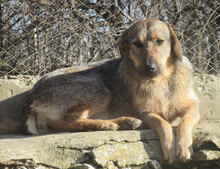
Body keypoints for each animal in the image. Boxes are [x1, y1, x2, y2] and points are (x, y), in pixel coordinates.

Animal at [21, 18, 199, 164]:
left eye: (159, 41)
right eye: (137, 44)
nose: (150, 68)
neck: (161, 81)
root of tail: (31, 94)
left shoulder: (193, 106)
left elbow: (185, 121)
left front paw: (184, 146)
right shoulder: (146, 113)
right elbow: (163, 124)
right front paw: (169, 147)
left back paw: (125, 122)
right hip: (99, 90)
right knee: (68, 120)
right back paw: (106, 124)